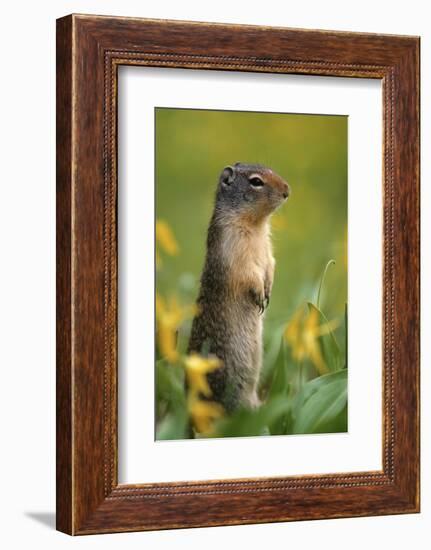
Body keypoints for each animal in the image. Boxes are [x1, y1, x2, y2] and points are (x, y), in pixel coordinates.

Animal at [188, 164, 290, 414]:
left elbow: (271, 263)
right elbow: (248, 274)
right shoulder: (233, 249)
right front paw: (260, 294)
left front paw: (268, 290)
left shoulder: (267, 249)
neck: (256, 225)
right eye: (256, 182)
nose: (287, 191)